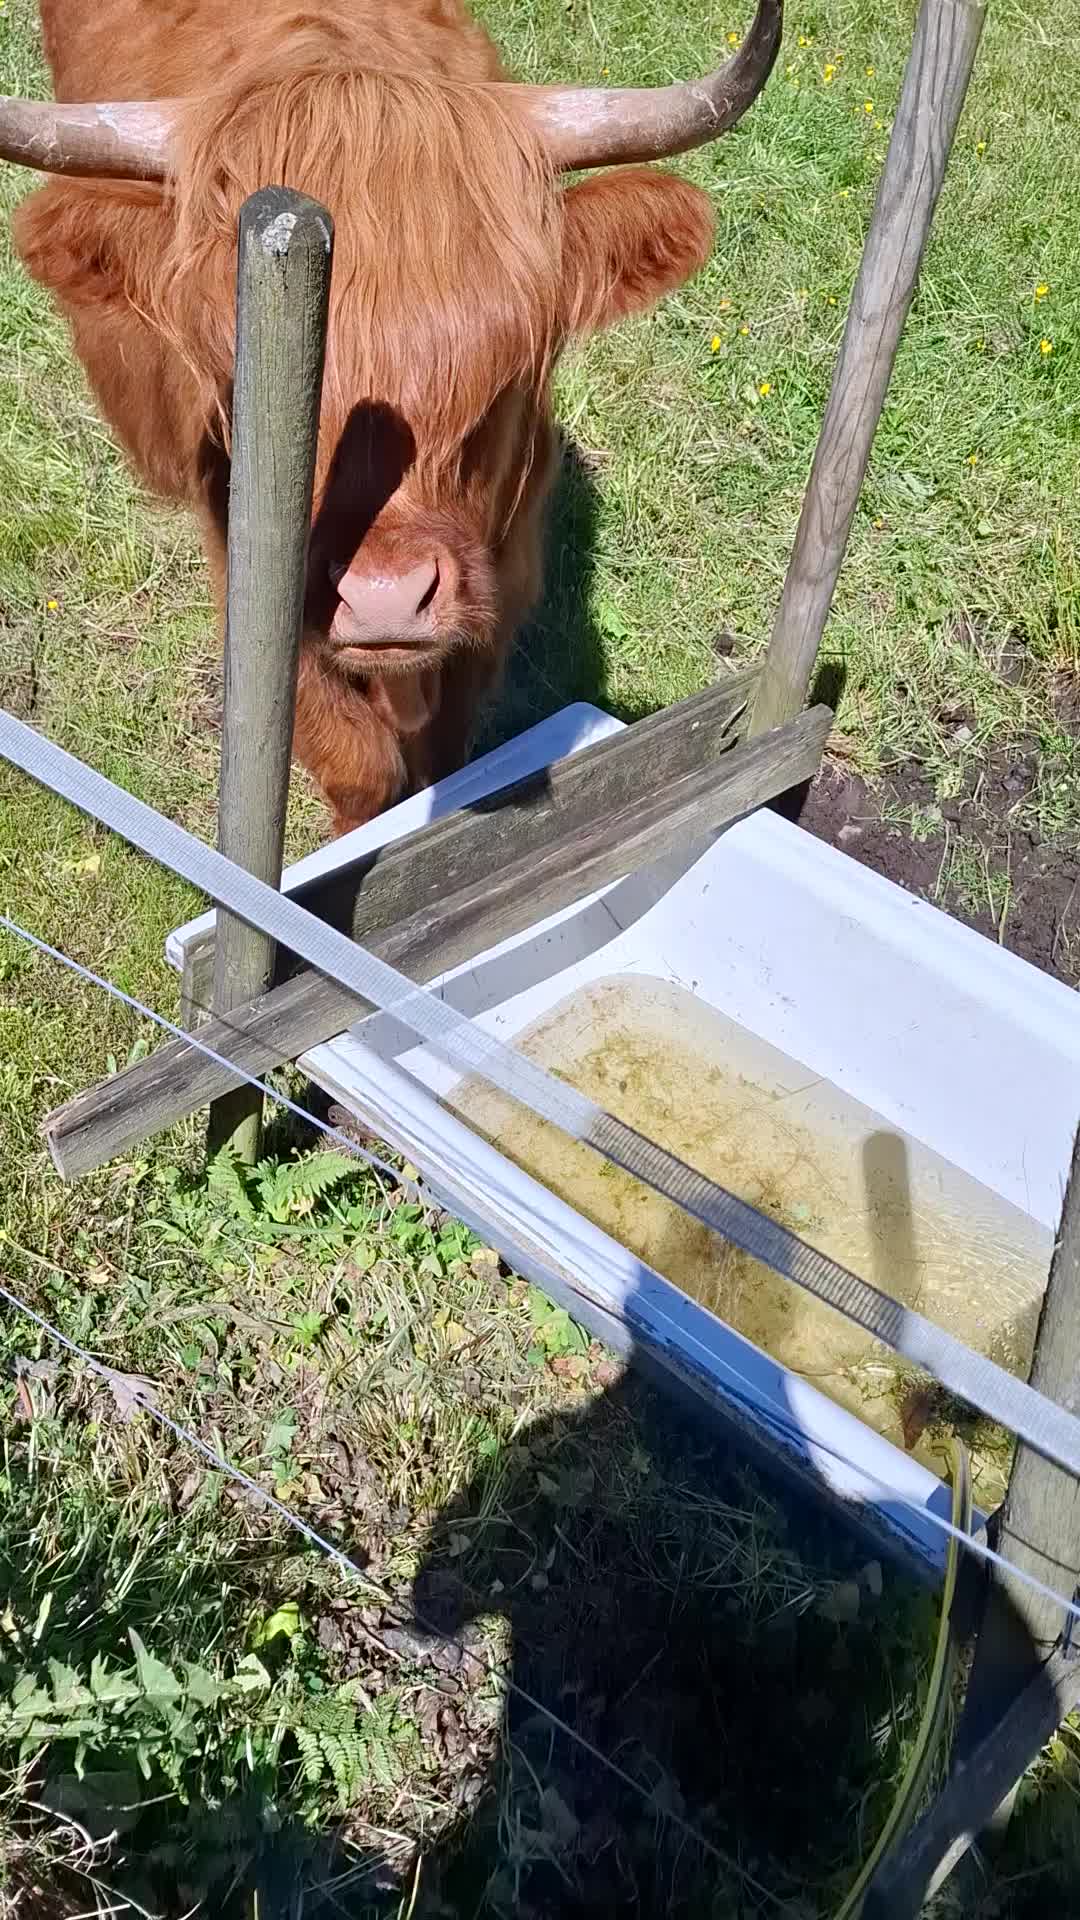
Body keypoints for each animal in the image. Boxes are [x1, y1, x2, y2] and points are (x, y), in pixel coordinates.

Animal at [1, 0, 781, 834]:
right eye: (236, 376)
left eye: (508, 374)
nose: (385, 599)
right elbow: (359, 764)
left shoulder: (503, 575)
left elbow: (448, 747)